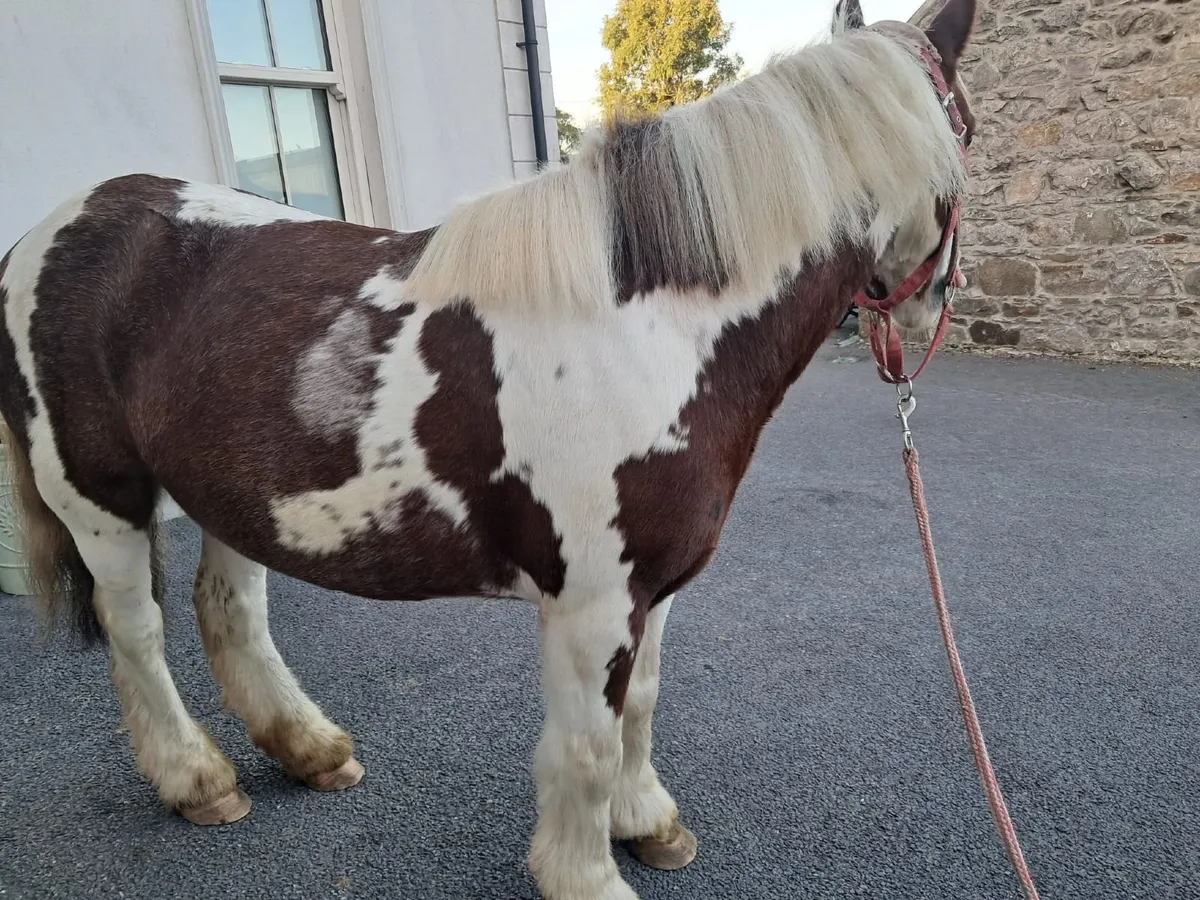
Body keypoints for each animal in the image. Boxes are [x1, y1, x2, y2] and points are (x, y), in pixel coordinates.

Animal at [0, 1, 978, 896]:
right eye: (967, 130)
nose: (935, 309)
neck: (650, 330)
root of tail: (43, 236)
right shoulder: (591, 605)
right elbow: (586, 745)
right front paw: (586, 876)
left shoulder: (651, 589)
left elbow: (641, 708)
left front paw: (647, 822)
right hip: (101, 502)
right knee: (137, 631)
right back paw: (195, 779)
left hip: (227, 493)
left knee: (228, 611)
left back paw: (308, 749)